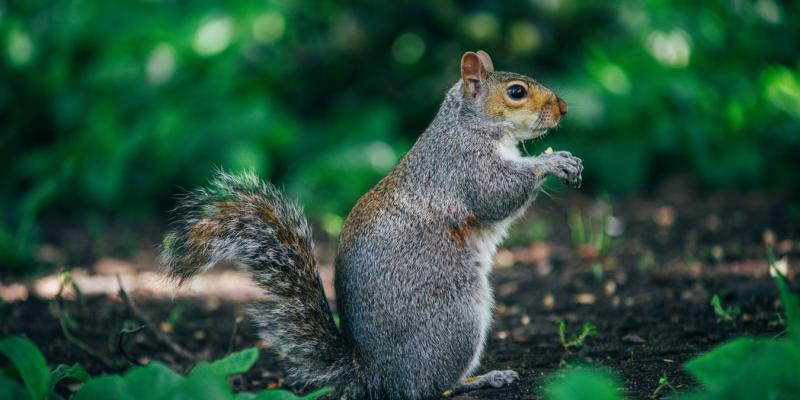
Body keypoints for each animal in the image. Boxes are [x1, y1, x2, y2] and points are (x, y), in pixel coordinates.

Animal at [161, 50, 580, 400]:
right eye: (516, 92)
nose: (563, 108)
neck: (471, 124)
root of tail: (374, 374)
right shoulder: (464, 167)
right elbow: (497, 194)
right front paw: (552, 161)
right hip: (456, 315)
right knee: (432, 387)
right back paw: (483, 378)